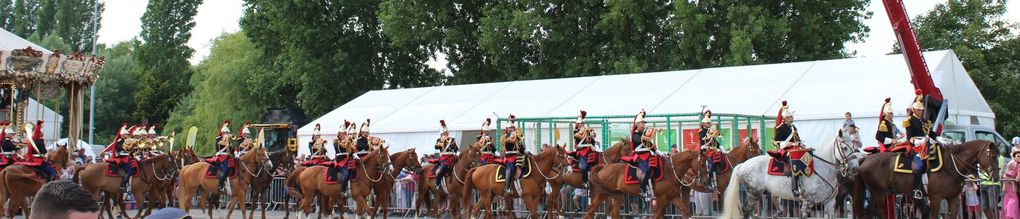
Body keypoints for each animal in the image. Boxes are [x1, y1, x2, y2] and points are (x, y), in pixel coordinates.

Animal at [722, 135, 856, 219]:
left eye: (855, 146)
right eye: (845, 148)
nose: (855, 167)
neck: (823, 167)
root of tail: (743, 165)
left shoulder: (830, 202)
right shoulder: (808, 202)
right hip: (753, 194)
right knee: (745, 211)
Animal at [848, 140, 999, 219]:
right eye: (992, 156)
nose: (996, 176)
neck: (949, 165)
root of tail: (865, 159)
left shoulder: (953, 198)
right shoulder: (936, 198)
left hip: (877, 193)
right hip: (879, 193)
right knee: (875, 213)